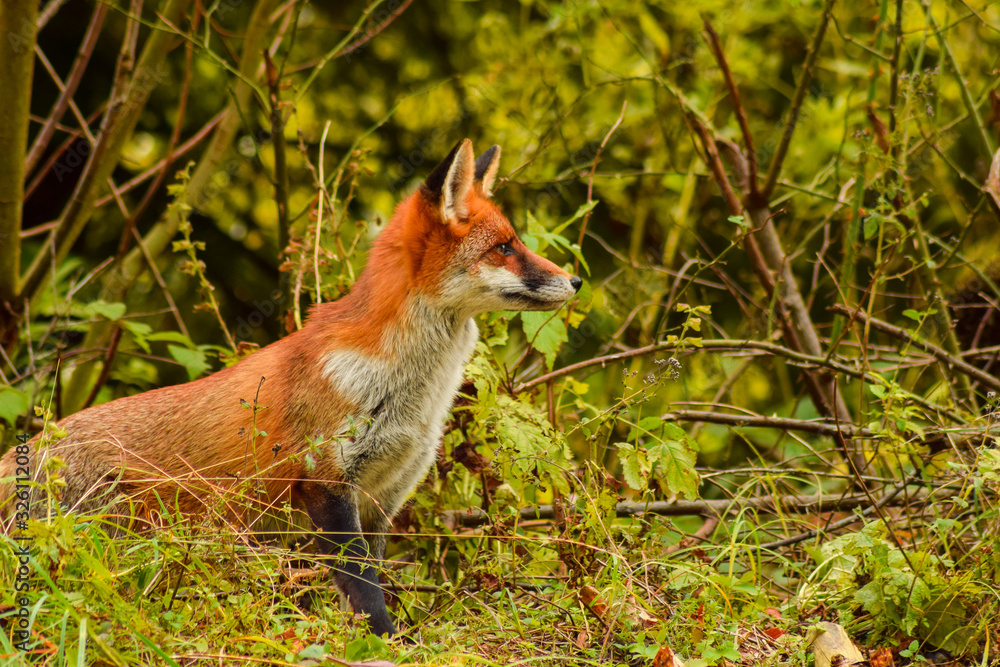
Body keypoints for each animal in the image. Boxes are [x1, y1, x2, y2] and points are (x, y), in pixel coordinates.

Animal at [0, 138, 581, 637]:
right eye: (505, 248)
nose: (576, 280)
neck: (406, 395)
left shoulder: (384, 497)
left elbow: (369, 576)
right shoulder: (325, 481)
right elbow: (363, 588)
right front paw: (388, 642)